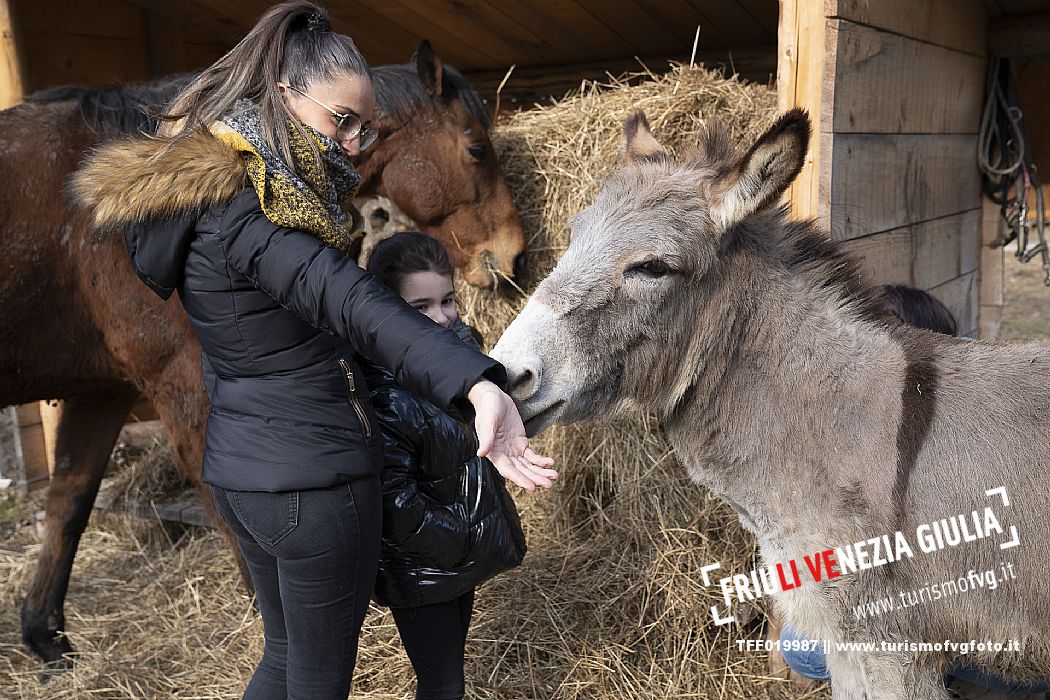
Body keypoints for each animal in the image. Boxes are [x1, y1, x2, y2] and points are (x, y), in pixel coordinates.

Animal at [0, 41, 525, 667]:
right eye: (475, 148)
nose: (515, 256)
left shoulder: (102, 393)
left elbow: (68, 503)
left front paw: (44, 634)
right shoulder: (178, 376)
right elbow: (222, 504)